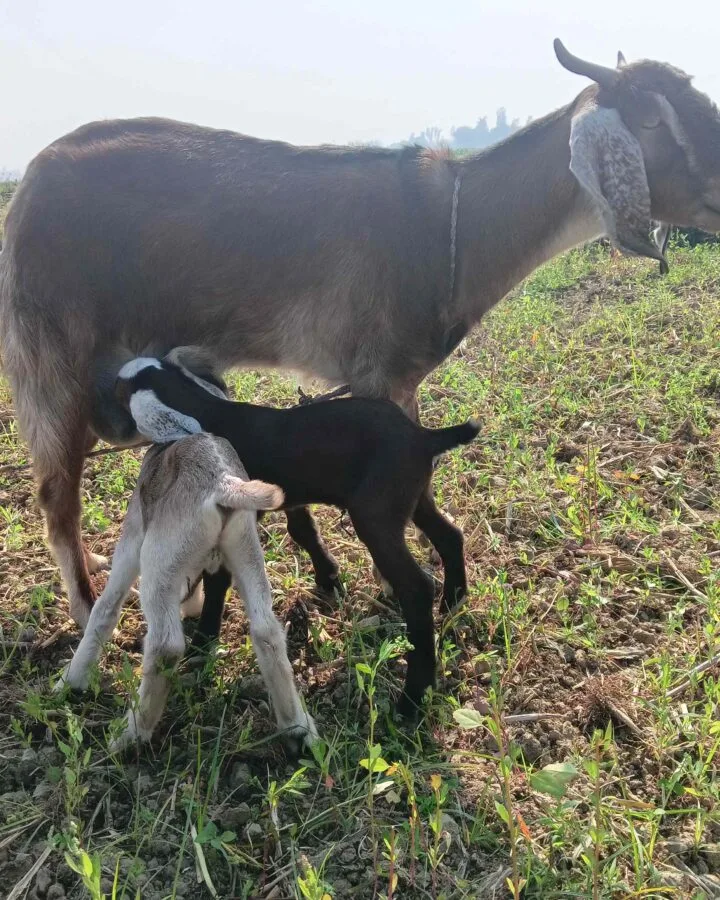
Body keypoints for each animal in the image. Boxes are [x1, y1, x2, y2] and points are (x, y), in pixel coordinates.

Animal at [1, 40, 719, 628]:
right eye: (651, 120)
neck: (451, 226)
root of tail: (32, 178)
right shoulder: (382, 372)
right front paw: (385, 590)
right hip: (52, 362)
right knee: (56, 495)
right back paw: (87, 607)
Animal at [57, 432, 317, 752]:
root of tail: (223, 483)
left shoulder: (133, 538)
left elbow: (104, 611)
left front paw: (71, 680)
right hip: (245, 549)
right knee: (267, 632)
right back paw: (297, 726)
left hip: (158, 559)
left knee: (165, 646)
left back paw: (132, 733)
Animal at [115, 351, 481, 717]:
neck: (209, 411)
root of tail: (424, 437)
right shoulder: (288, 496)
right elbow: (302, 530)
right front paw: (328, 578)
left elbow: (218, 580)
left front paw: (203, 641)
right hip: (413, 499)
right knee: (451, 536)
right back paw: (453, 601)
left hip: (376, 516)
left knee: (417, 588)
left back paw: (413, 696)